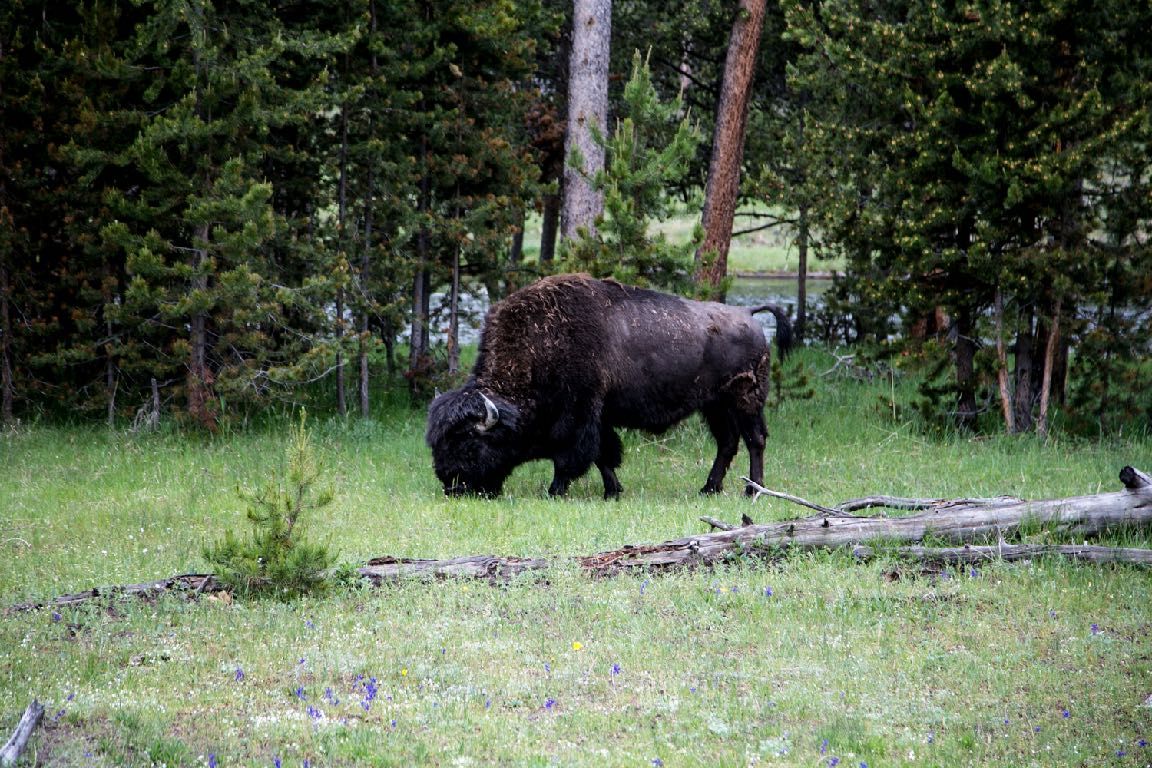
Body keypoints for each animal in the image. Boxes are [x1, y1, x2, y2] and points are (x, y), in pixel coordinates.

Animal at [426, 274, 792, 498]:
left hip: (745, 400)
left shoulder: (579, 415)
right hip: (714, 405)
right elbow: (604, 455)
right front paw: (612, 490)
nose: (452, 486)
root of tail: (747, 313)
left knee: (755, 440)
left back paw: (752, 490)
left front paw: (556, 490)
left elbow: (573, 456)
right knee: (727, 442)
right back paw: (708, 488)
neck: (540, 346)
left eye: (468, 443)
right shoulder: (599, 418)